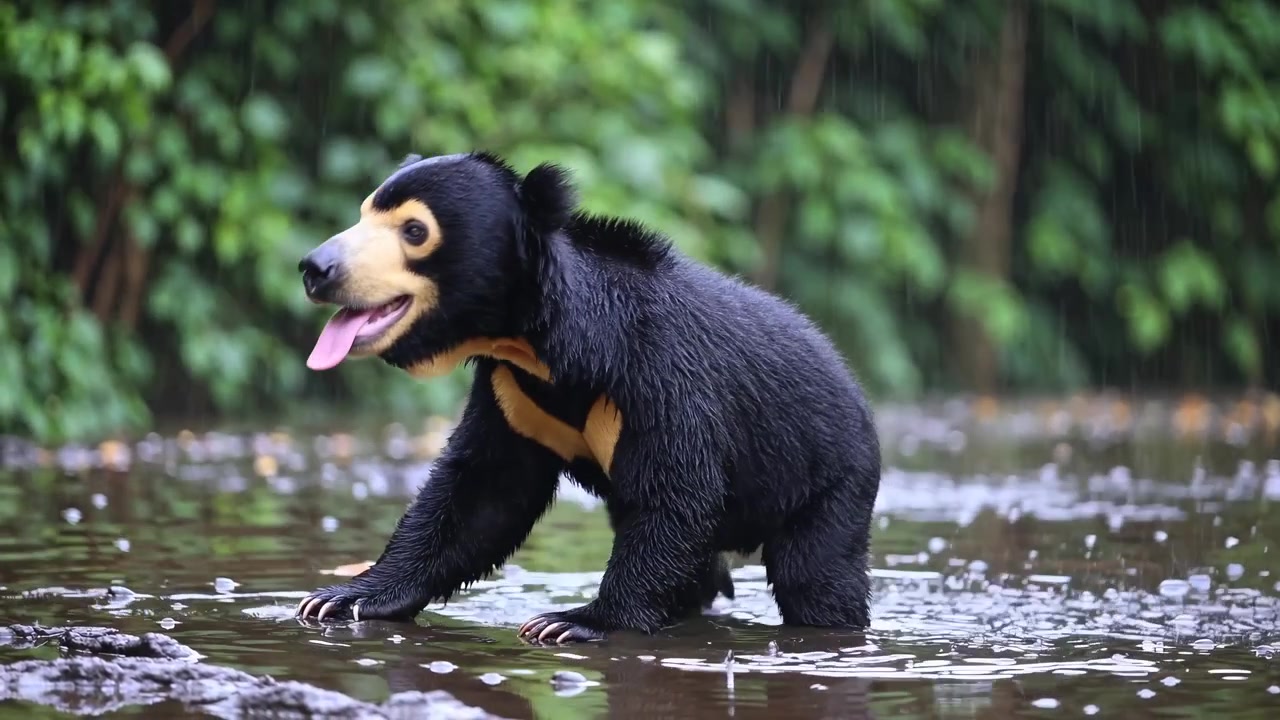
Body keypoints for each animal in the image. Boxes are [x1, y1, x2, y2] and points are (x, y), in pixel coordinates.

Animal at [293, 150, 882, 644]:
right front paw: (340, 598)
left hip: (828, 478)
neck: (534, 345)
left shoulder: (664, 375)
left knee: (815, 572)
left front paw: (571, 621)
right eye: (363, 213)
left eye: (415, 230)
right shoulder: (510, 391)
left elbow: (678, 493)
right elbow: (480, 493)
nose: (314, 268)